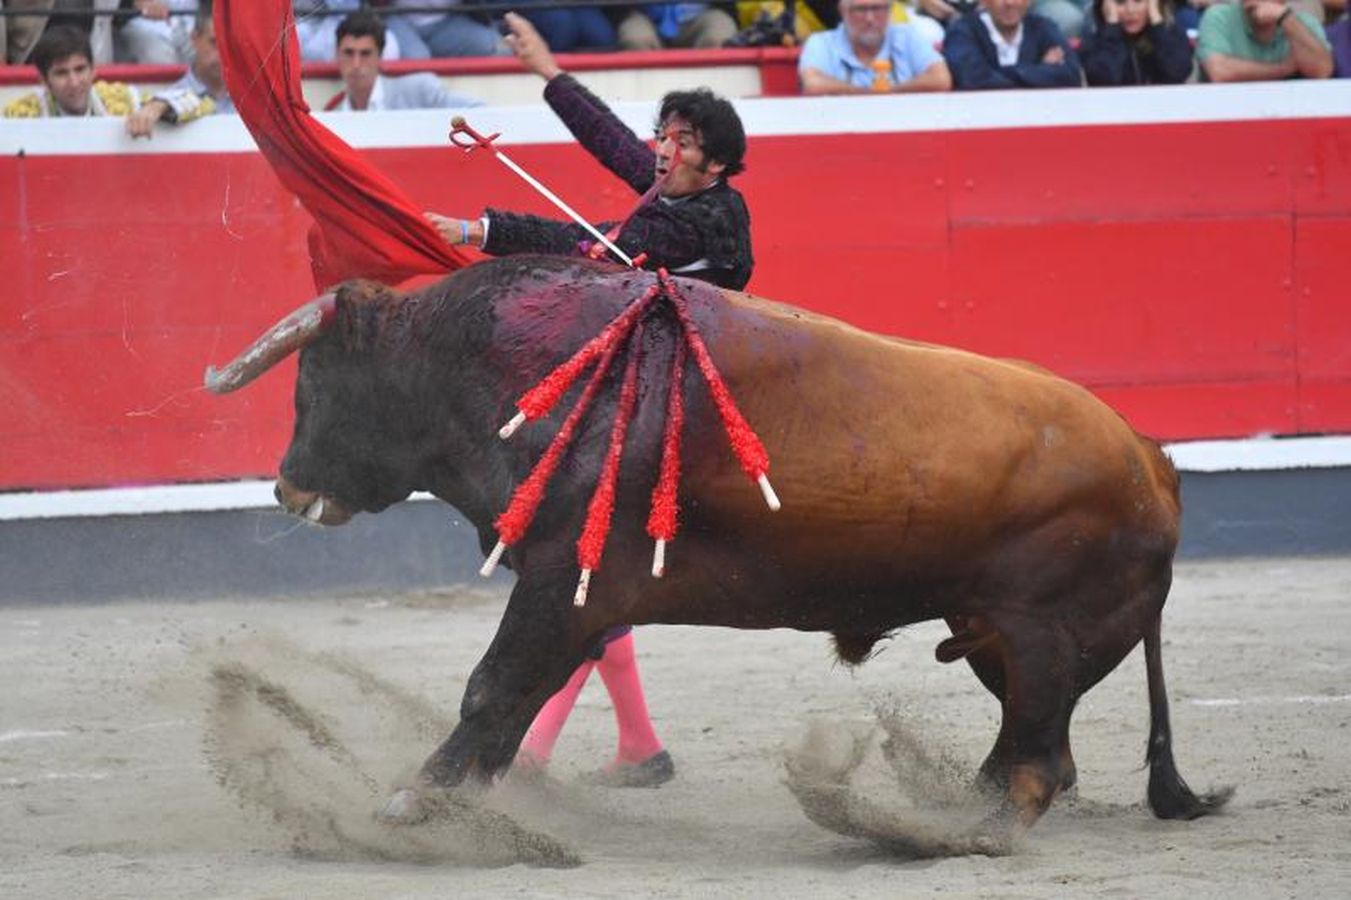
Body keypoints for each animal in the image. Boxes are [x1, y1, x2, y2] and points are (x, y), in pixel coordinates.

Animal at [205, 254, 1232, 843]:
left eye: (314, 380)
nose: (285, 486)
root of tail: (1149, 455)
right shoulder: (579, 594)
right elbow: (515, 701)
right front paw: (469, 799)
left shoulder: (562, 585)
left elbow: (491, 688)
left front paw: (411, 805)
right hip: (992, 636)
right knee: (1032, 750)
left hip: (1036, 631)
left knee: (1034, 764)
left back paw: (949, 831)